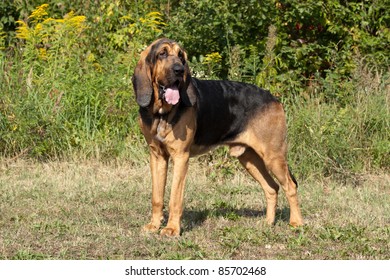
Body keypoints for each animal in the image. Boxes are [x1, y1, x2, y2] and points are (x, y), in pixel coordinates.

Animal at [133, 37, 304, 236]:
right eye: (162, 54)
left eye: (181, 56)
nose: (179, 70)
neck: (161, 113)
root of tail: (275, 99)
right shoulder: (157, 156)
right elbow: (157, 196)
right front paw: (154, 225)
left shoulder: (180, 157)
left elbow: (175, 198)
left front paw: (172, 229)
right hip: (249, 159)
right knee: (272, 187)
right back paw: (268, 223)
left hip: (273, 157)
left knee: (290, 186)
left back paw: (296, 223)